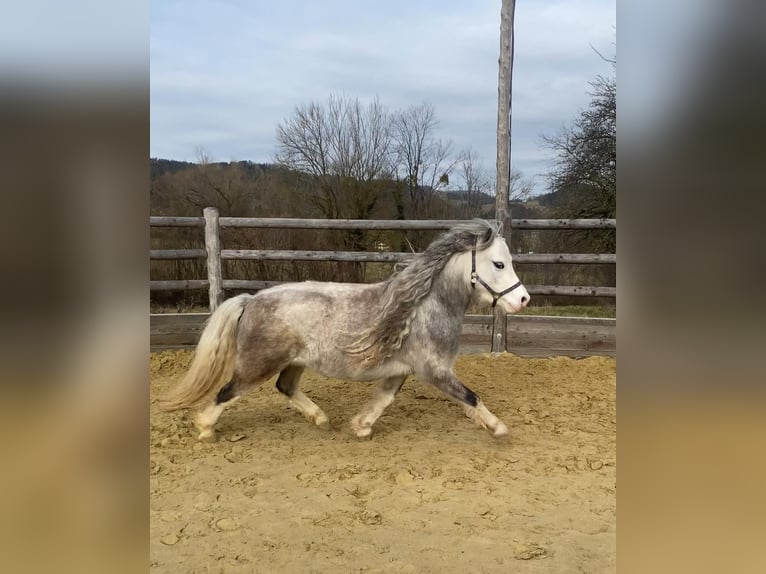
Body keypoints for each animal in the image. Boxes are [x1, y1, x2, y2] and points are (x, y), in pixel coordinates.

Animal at [160, 219, 530, 441]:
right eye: (499, 264)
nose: (523, 299)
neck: (422, 307)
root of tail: (251, 300)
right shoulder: (434, 371)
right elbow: (470, 396)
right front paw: (499, 427)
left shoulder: (401, 371)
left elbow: (384, 399)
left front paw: (361, 426)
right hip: (256, 366)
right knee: (227, 391)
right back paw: (205, 429)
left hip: (295, 362)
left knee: (285, 387)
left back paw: (321, 419)